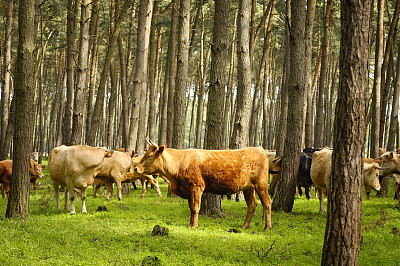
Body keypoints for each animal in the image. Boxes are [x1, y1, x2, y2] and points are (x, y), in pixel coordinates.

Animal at [135, 141, 272, 231]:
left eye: (149, 155)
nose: (136, 168)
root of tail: (260, 149)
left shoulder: (197, 187)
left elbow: (196, 207)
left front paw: (195, 226)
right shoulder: (189, 189)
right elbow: (191, 208)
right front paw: (191, 224)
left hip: (261, 184)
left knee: (267, 203)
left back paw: (267, 227)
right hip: (248, 188)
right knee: (252, 204)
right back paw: (244, 226)